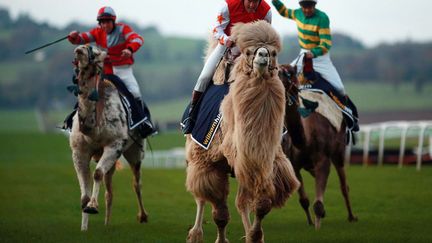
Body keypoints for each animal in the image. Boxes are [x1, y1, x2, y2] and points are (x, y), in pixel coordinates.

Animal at [68, 45, 148, 230]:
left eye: (95, 52)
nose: (79, 49)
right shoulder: (79, 151)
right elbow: (84, 195)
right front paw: (84, 228)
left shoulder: (114, 144)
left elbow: (97, 174)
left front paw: (92, 207)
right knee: (109, 189)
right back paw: (106, 222)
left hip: (134, 151)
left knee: (136, 183)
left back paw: (142, 216)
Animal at [186, 20, 300, 243]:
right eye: (248, 52)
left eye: (274, 53)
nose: (262, 55)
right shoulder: (213, 165)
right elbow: (220, 214)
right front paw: (222, 239)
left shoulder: (262, 163)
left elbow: (262, 204)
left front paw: (254, 235)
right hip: (197, 156)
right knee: (200, 197)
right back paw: (195, 233)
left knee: (239, 202)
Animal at [278, 63, 356, 229]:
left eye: (290, 73)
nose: (279, 76)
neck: (305, 141)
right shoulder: (294, 164)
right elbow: (304, 200)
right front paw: (310, 222)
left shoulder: (323, 159)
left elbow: (318, 204)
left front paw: (317, 226)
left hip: (338, 152)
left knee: (344, 186)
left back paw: (352, 216)